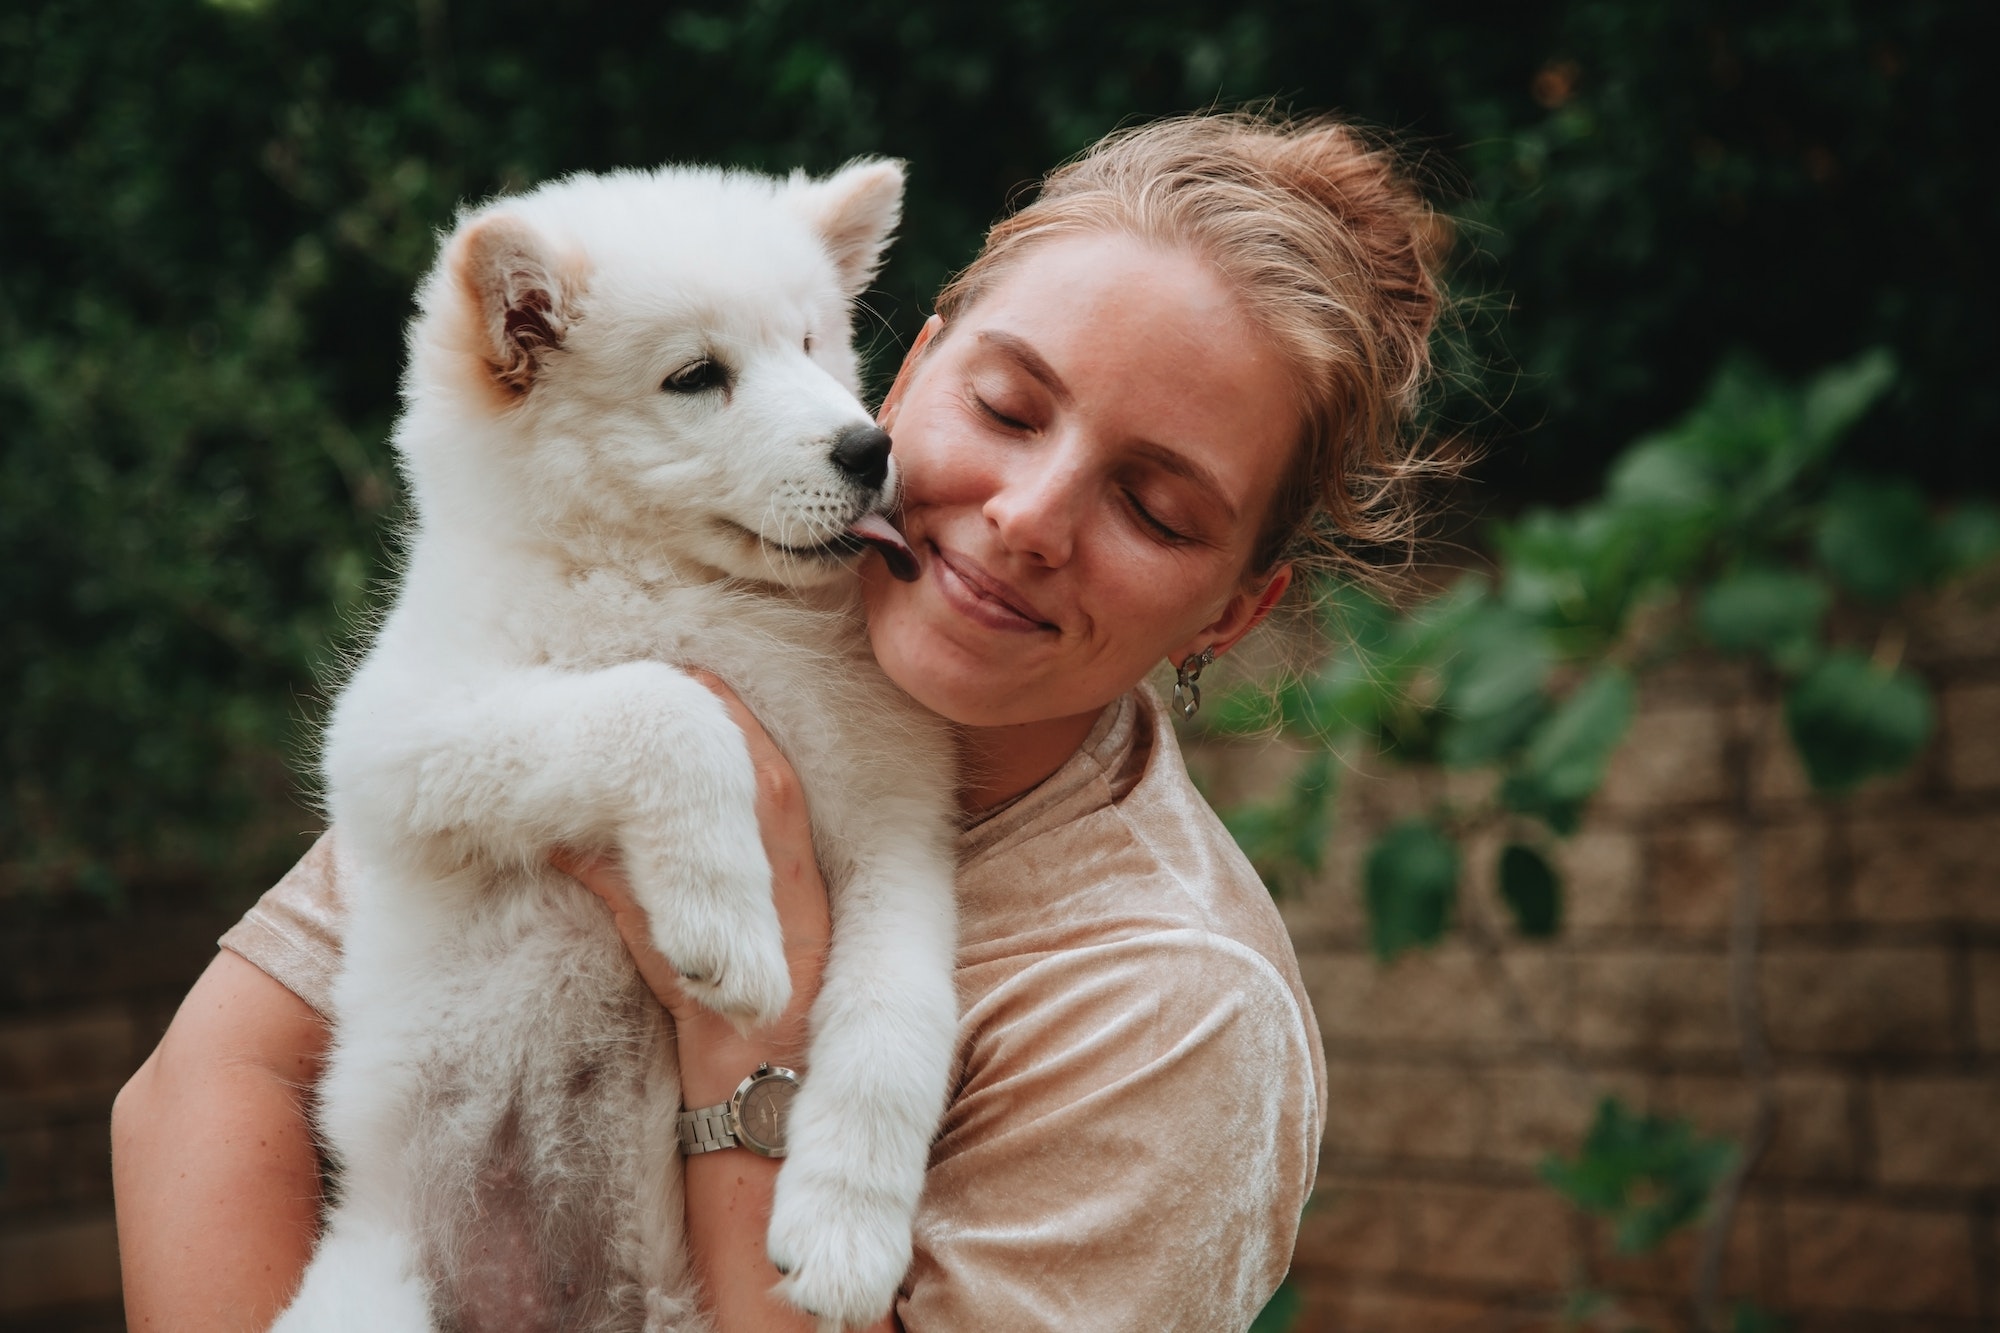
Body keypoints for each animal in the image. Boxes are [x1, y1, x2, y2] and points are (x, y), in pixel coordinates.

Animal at [276, 158, 960, 1328]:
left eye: (811, 343)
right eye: (696, 376)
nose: (873, 449)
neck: (685, 588)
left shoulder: (895, 825)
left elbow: (895, 1017)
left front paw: (844, 1231)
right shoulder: (394, 734)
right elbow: (660, 702)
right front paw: (725, 922)